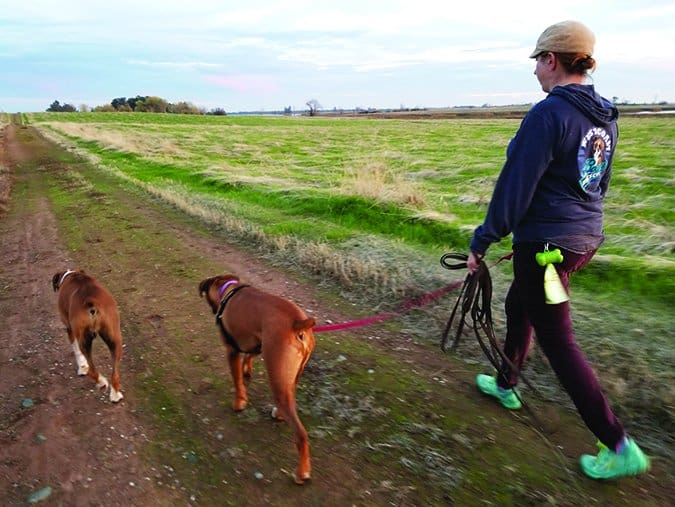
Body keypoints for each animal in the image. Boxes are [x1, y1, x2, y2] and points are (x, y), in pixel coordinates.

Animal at [51, 270, 124, 404]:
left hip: (84, 339)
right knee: (115, 374)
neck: (71, 275)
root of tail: (91, 301)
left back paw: (100, 382)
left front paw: (82, 367)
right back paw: (115, 395)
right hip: (114, 338)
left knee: (92, 370)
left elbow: (76, 351)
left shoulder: (70, 329)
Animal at [199, 274, 318, 484]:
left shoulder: (232, 351)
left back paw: (302, 472)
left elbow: (237, 381)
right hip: (289, 378)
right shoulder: (257, 343)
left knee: (301, 434)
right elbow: (249, 357)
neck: (228, 290)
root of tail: (298, 323)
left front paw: (239, 403)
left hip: (277, 378)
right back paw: (279, 413)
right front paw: (247, 370)